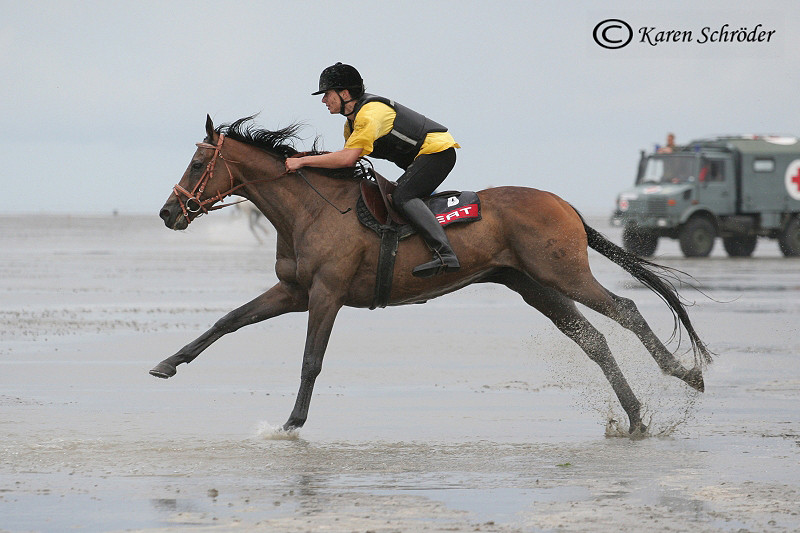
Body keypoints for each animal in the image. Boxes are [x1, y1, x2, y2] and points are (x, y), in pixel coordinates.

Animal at [153, 114, 708, 434]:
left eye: (198, 162)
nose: (167, 213)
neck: (310, 209)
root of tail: (564, 202)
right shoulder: (293, 290)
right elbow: (228, 320)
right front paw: (167, 363)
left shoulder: (326, 293)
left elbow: (311, 360)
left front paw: (292, 423)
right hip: (531, 285)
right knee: (592, 339)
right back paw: (635, 416)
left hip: (562, 273)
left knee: (626, 310)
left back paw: (685, 373)